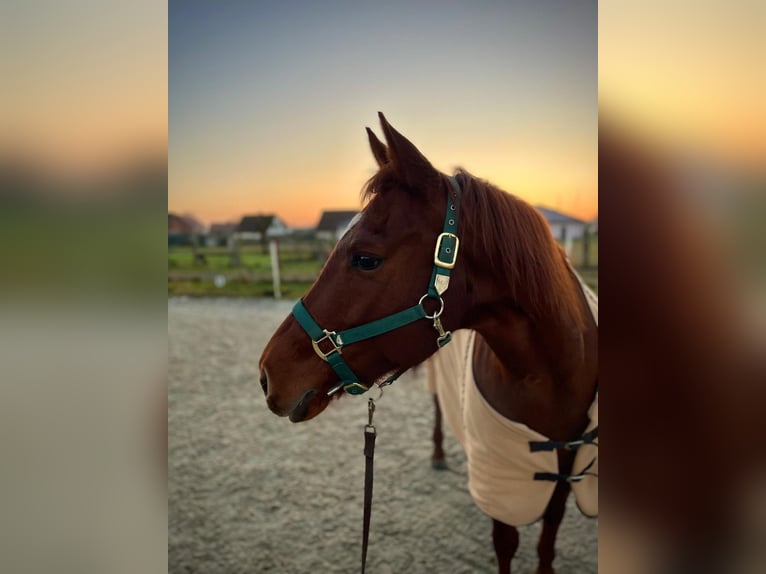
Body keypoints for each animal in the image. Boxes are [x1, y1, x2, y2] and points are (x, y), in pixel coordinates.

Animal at [259, 113, 598, 574]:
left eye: (365, 258)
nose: (267, 373)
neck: (555, 373)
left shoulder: (564, 471)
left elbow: (548, 540)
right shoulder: (504, 480)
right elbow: (506, 544)